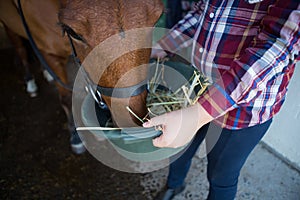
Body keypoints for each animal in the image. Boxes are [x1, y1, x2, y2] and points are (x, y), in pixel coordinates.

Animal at [0, 0, 163, 153]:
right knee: (20, 48)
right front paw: (75, 135)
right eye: (72, 32)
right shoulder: (51, 54)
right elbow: (66, 97)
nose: (132, 122)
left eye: (157, 18)